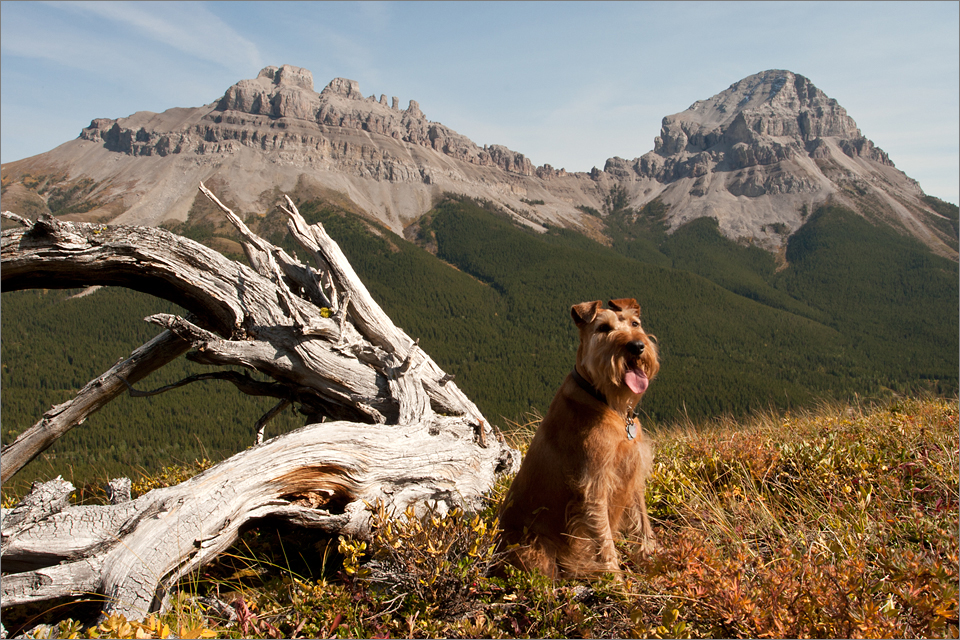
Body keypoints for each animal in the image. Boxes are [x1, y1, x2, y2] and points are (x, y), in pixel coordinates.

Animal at [496, 298, 660, 576]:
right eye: (603, 328)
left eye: (635, 324)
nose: (637, 346)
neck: (608, 403)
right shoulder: (594, 485)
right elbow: (604, 542)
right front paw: (617, 581)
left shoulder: (633, 472)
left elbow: (642, 521)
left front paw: (651, 557)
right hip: (535, 549)